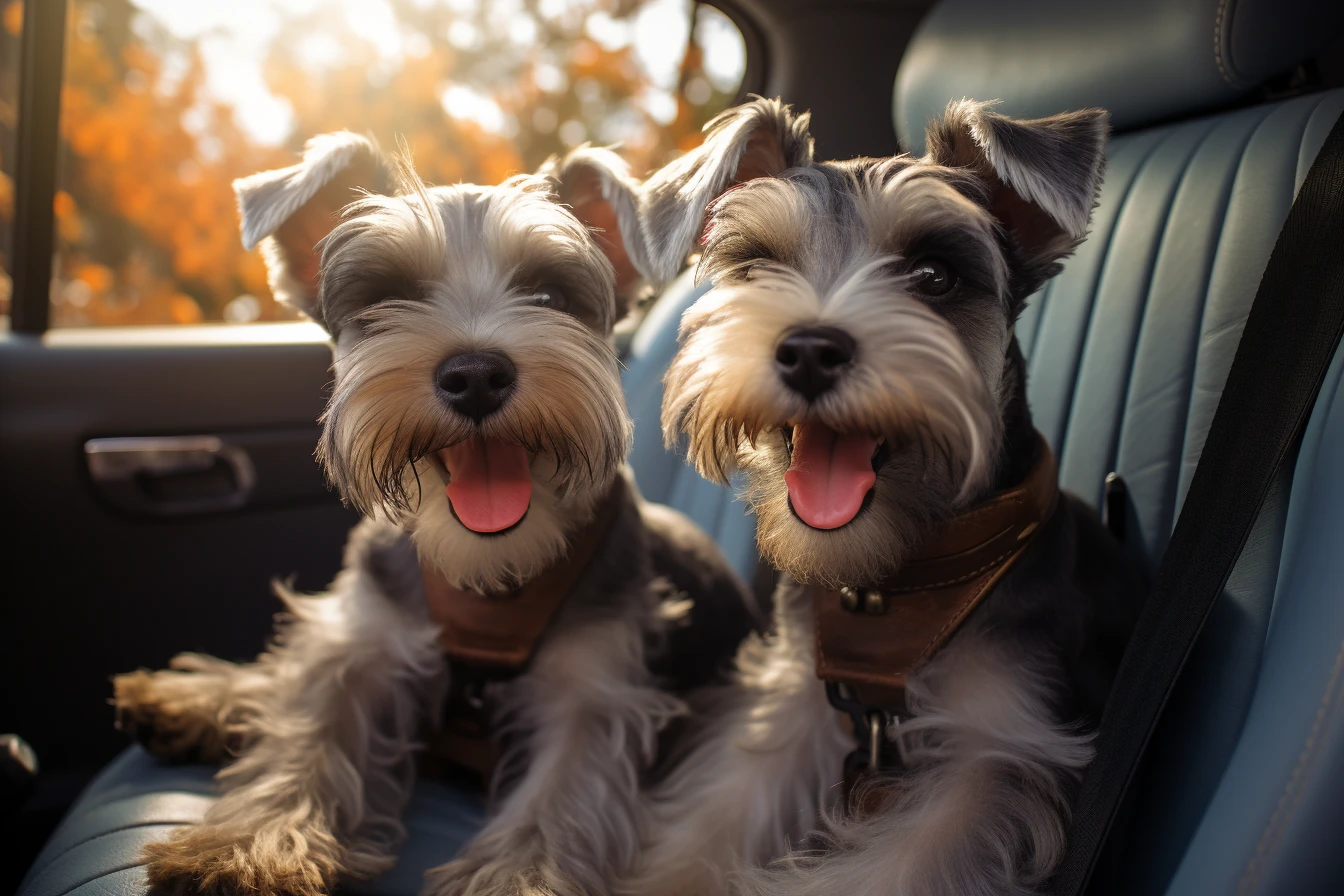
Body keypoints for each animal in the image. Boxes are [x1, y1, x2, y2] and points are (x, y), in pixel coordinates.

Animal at [110, 135, 758, 896]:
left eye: (549, 296)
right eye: (389, 297)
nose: (475, 373)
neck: (489, 581)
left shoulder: (596, 689)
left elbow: (559, 798)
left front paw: (516, 880)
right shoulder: (364, 639)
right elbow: (306, 730)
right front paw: (248, 845)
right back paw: (192, 699)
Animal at [626, 100, 1145, 896]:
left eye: (933, 275)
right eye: (757, 267)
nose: (809, 350)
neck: (892, 587)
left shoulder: (1001, 753)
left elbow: (897, 866)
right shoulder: (798, 709)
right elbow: (715, 816)